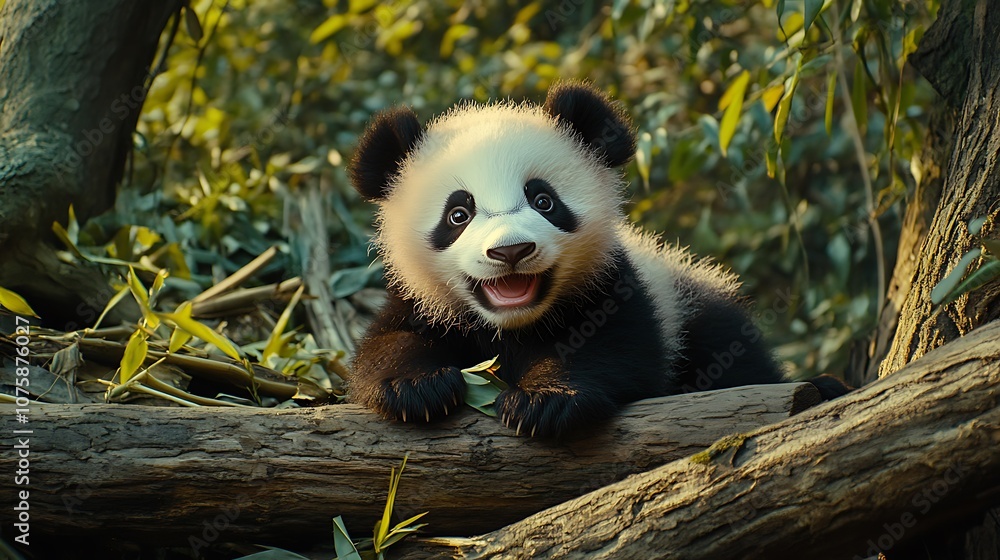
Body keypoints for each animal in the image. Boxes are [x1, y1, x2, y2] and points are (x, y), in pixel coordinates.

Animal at [347, 81, 848, 438]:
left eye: (544, 200)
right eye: (458, 214)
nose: (510, 251)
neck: (515, 326)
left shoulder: (615, 287)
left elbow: (613, 347)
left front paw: (544, 402)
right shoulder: (420, 301)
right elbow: (385, 345)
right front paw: (419, 388)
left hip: (694, 313)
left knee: (737, 360)